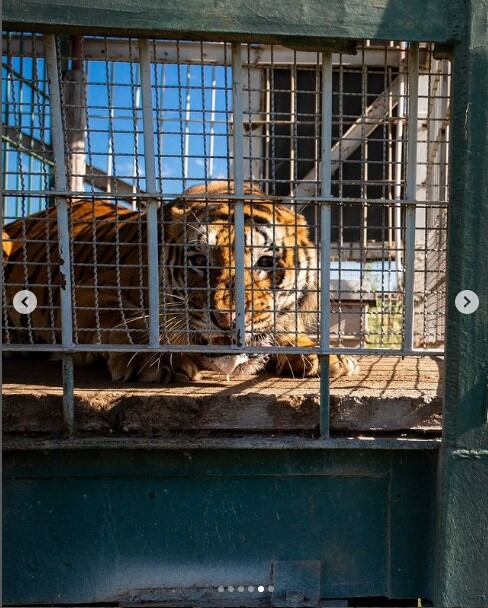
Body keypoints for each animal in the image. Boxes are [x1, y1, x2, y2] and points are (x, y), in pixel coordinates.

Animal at [1, 178, 356, 382]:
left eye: (265, 263)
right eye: (199, 261)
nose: (227, 321)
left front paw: (319, 354)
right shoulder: (83, 292)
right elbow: (124, 318)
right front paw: (156, 359)